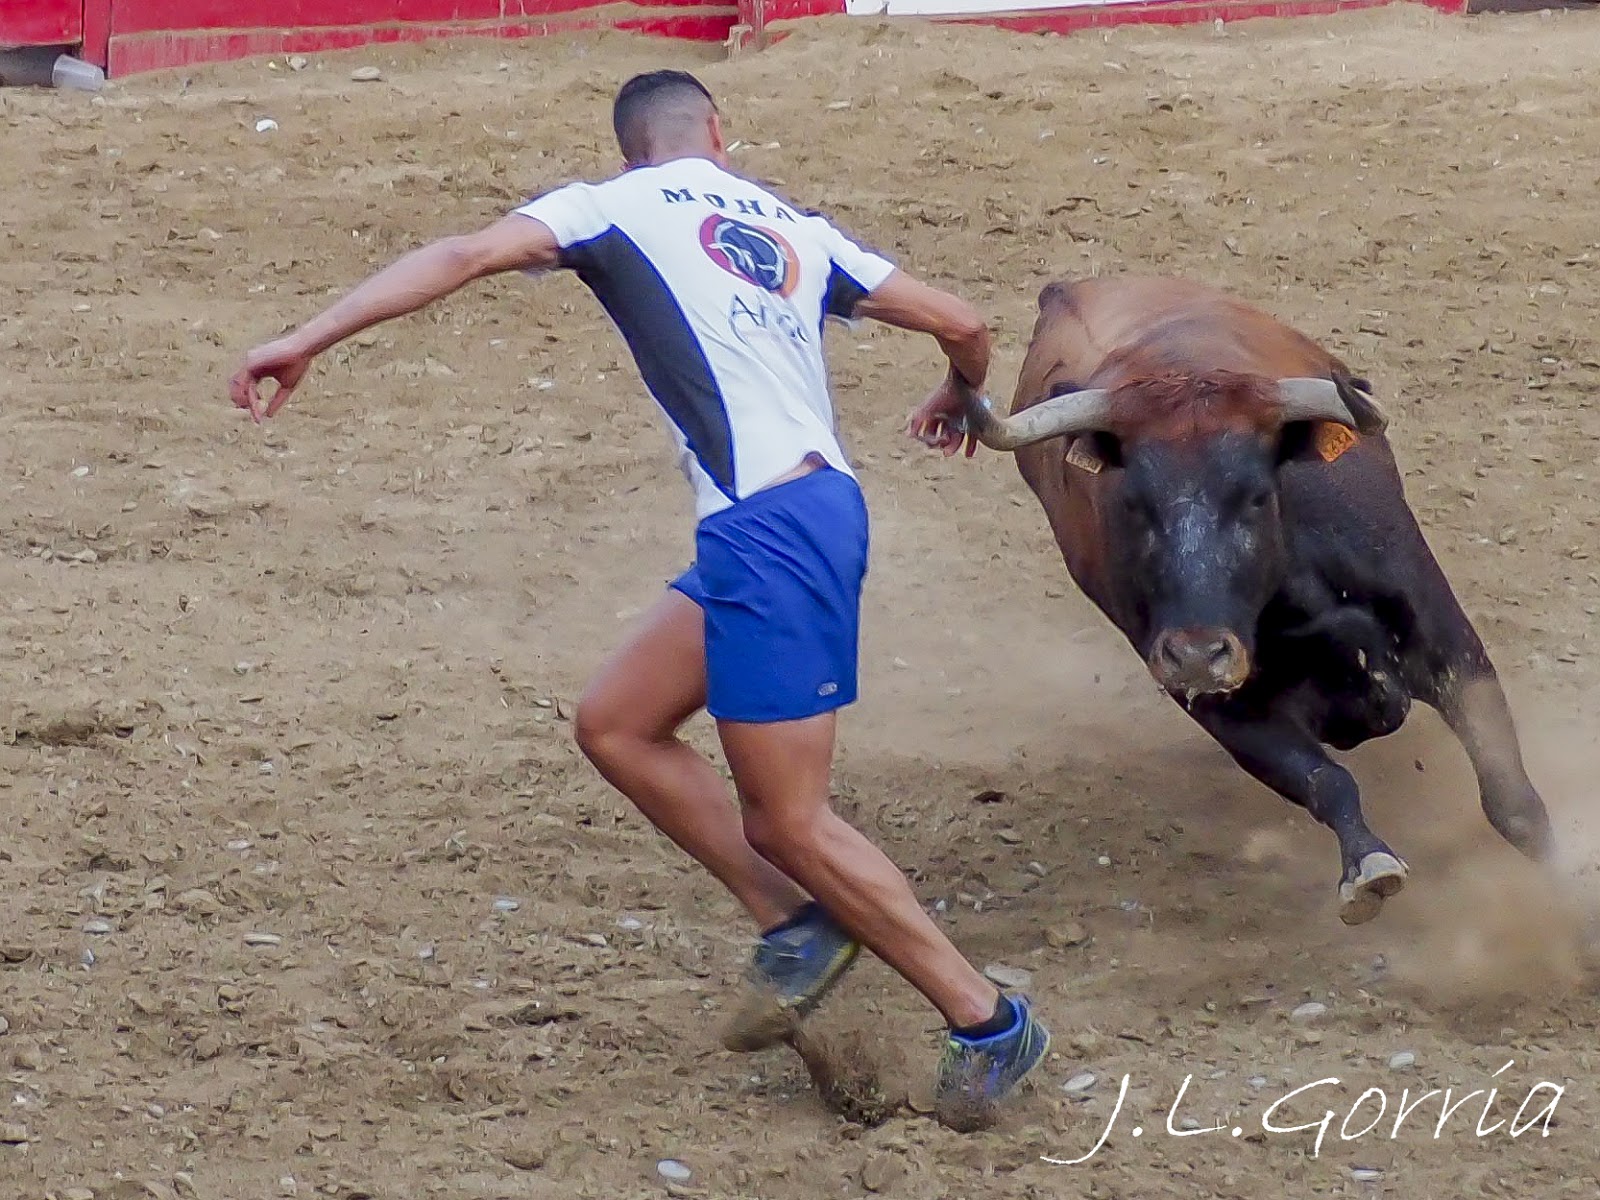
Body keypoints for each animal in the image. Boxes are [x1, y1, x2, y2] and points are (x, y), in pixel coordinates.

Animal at [952, 274, 1553, 924]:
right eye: (1133, 502)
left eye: (1256, 496)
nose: (1196, 655)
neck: (1296, 594)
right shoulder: (1225, 705)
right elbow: (1324, 781)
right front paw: (1367, 867)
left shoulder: (1442, 634)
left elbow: (1510, 797)